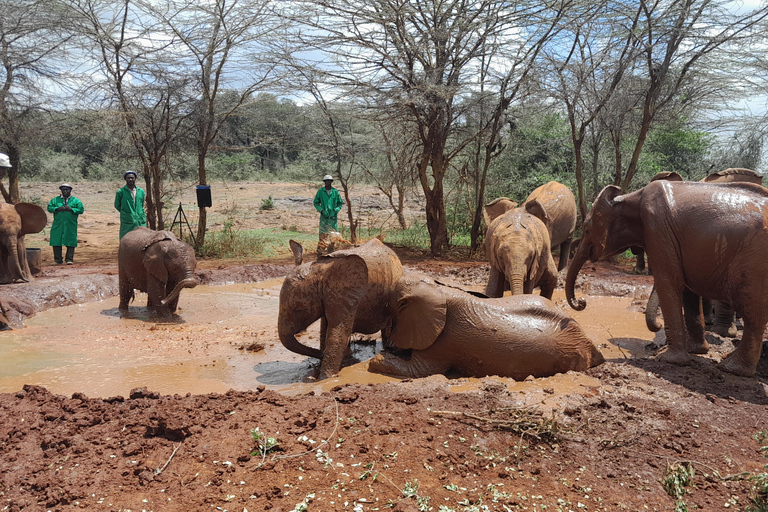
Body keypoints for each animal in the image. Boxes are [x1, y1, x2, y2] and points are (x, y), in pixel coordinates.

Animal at [278, 238, 408, 378]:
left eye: (298, 310)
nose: (321, 355)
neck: (318, 268)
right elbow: (326, 327)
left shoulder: (344, 293)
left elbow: (338, 331)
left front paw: (324, 379)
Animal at [368, 276, 608, 380]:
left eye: (389, 310)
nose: (387, 346)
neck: (437, 288)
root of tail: (592, 346)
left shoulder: (443, 342)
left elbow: (419, 371)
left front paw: (375, 361)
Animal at [564, 180, 768, 376]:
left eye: (587, 229)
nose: (581, 302)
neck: (630, 197)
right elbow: (687, 291)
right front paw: (695, 351)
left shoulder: (657, 227)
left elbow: (668, 281)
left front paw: (667, 359)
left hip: (754, 262)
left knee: (752, 314)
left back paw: (731, 368)